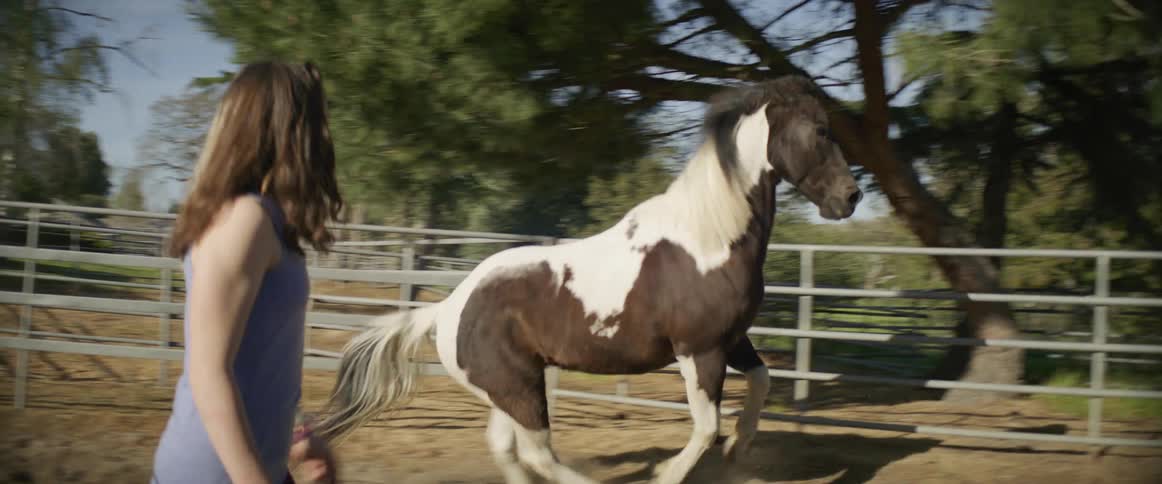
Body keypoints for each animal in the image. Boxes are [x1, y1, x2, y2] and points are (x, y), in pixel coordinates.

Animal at [315, 75, 862, 484]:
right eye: (820, 131)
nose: (851, 197)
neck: (706, 239)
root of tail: (446, 309)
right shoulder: (699, 349)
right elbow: (706, 426)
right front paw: (669, 472)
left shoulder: (732, 339)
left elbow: (762, 381)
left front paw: (738, 449)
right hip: (521, 389)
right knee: (537, 453)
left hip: (510, 389)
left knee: (507, 449)